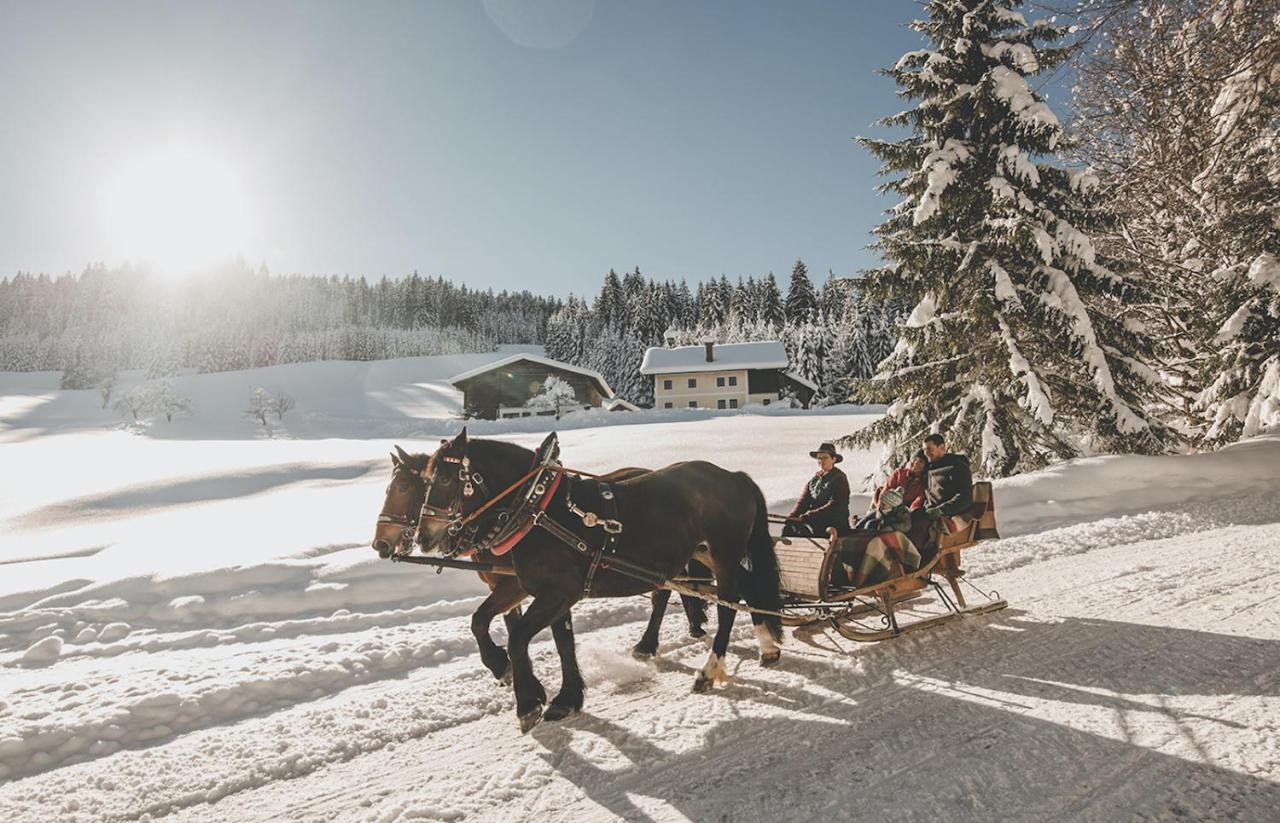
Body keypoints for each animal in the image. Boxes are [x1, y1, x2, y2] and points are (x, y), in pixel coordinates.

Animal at [414, 432, 783, 732]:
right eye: (425, 480)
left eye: (445, 478)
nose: (422, 537)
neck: (536, 509)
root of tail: (734, 476)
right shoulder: (531, 587)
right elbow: (490, 624)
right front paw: (549, 690)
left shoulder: (559, 591)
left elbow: (520, 638)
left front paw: (528, 703)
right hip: (707, 554)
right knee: (745, 591)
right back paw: (766, 645)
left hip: (724, 554)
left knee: (727, 608)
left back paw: (709, 670)